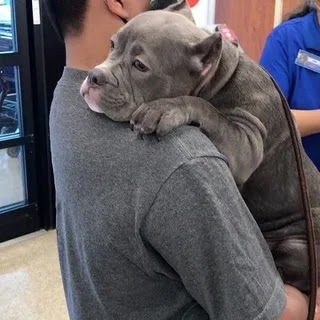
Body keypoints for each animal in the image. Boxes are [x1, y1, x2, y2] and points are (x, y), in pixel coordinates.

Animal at [82, 0, 320, 296]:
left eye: (140, 65)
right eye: (112, 44)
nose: (94, 76)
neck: (221, 76)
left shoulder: (247, 142)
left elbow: (207, 108)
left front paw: (165, 108)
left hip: (300, 244)